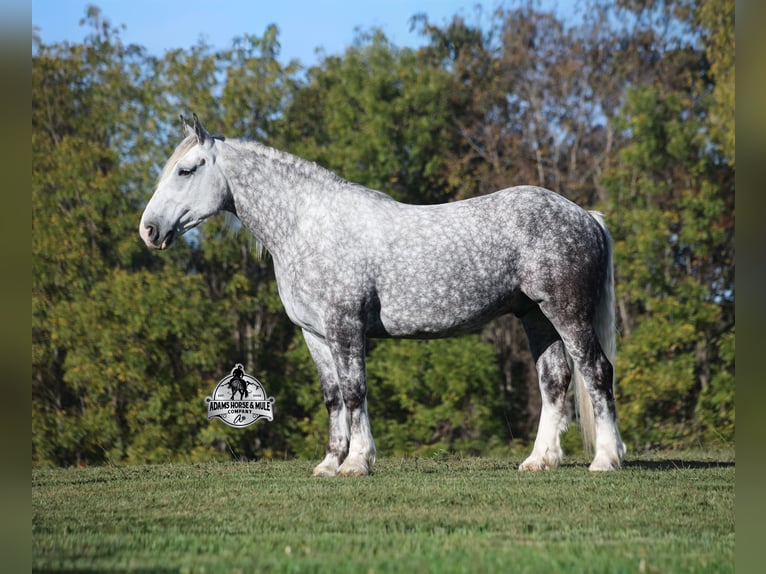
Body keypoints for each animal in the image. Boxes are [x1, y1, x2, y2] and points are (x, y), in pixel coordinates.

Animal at [140, 114, 625, 476]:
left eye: (186, 170)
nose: (149, 230)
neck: (307, 225)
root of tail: (585, 215)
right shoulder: (315, 335)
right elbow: (334, 396)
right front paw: (329, 464)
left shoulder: (345, 326)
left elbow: (355, 391)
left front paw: (357, 462)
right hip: (535, 316)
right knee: (555, 381)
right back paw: (540, 460)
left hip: (567, 312)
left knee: (596, 371)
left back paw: (606, 459)